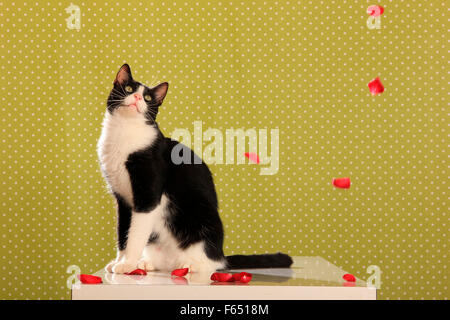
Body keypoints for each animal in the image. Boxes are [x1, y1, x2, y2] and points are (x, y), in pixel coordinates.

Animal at [97, 63, 294, 274]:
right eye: (128, 88)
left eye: (148, 98)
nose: (137, 98)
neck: (124, 132)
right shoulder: (123, 200)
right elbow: (123, 232)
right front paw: (119, 261)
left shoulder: (147, 195)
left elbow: (135, 234)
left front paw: (127, 264)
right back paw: (148, 263)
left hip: (203, 220)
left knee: (211, 262)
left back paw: (190, 265)